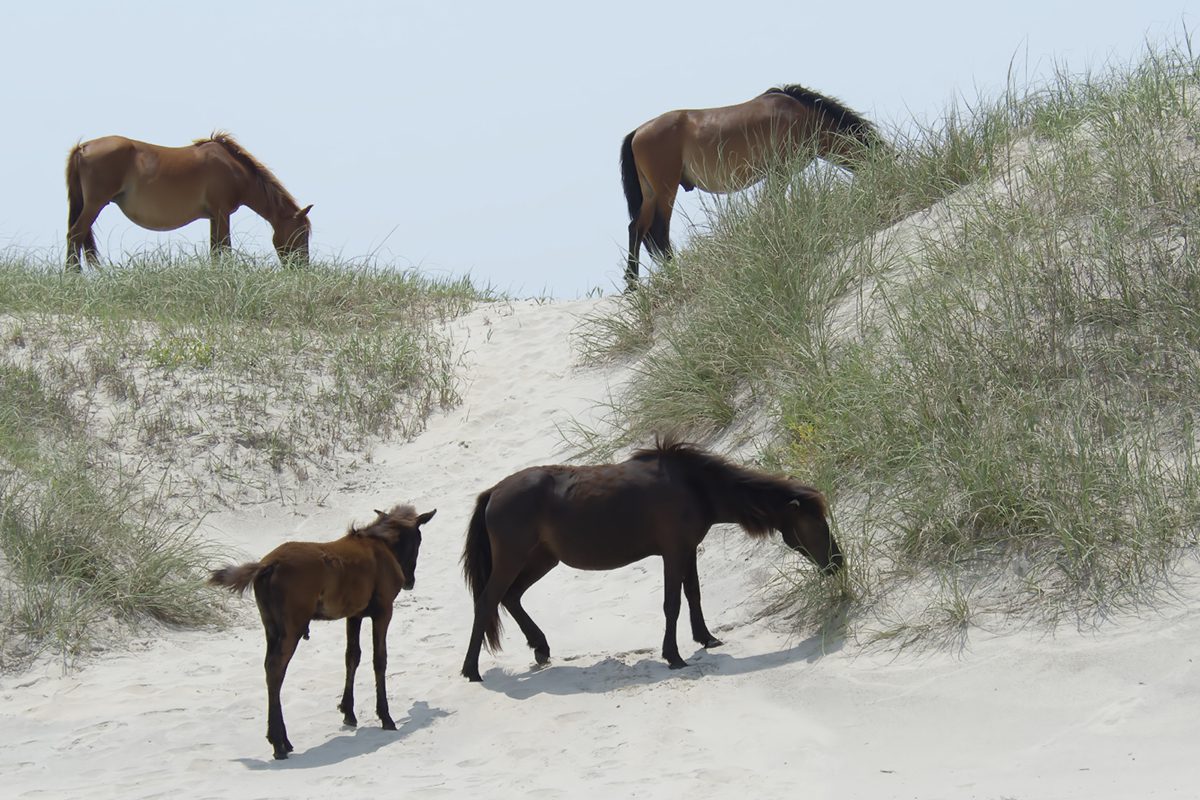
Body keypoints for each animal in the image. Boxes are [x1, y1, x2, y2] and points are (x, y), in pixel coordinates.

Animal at [65, 131, 312, 268]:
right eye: (301, 234)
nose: (303, 268)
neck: (234, 170)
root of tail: (83, 147)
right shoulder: (222, 212)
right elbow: (225, 249)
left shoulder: (214, 216)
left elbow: (215, 250)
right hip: (95, 204)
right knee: (76, 235)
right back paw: (73, 275)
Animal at [210, 503, 436, 762]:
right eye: (419, 539)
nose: (409, 581)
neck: (380, 544)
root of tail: (267, 566)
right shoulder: (383, 612)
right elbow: (379, 660)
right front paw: (385, 717)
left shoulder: (354, 615)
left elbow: (352, 656)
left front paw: (348, 711)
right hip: (292, 629)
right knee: (276, 670)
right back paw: (279, 743)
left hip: (272, 628)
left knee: (269, 669)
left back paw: (282, 740)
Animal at [458, 438, 844, 681]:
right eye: (816, 525)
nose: (838, 563)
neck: (695, 486)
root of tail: (493, 492)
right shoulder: (673, 552)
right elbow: (672, 604)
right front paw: (673, 656)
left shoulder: (687, 550)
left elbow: (693, 596)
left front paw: (706, 638)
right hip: (513, 559)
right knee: (487, 601)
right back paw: (471, 670)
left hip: (541, 560)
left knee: (511, 597)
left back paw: (540, 647)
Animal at [624, 84, 888, 289]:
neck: (803, 115)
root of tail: (637, 132)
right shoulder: (781, 171)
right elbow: (772, 205)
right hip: (665, 191)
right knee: (658, 232)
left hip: (651, 194)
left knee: (637, 229)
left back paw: (634, 283)